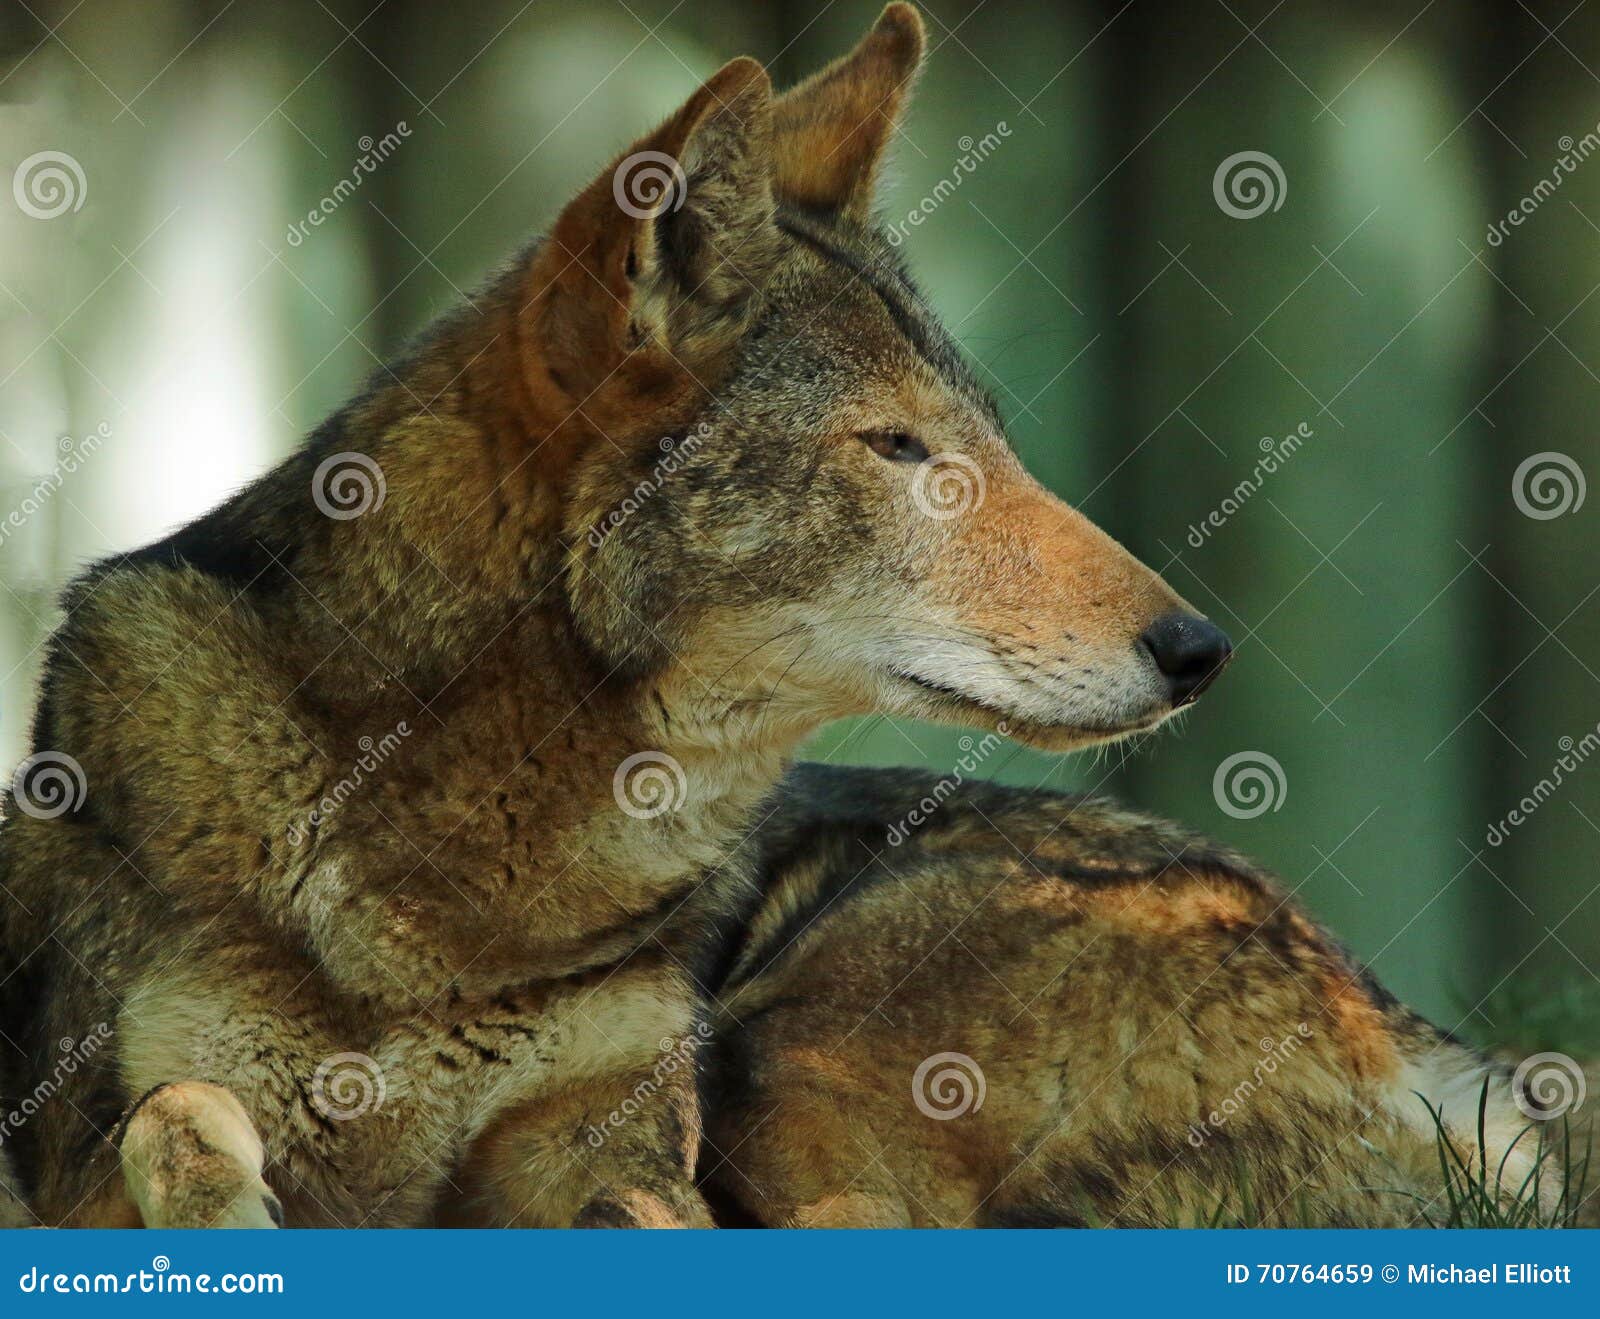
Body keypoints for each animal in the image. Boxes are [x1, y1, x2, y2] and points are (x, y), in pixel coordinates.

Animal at [0, 5, 1230, 1227]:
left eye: (990, 441)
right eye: (897, 445)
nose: (1201, 650)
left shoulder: (614, 1136)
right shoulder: (90, 1152)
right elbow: (175, 1110)